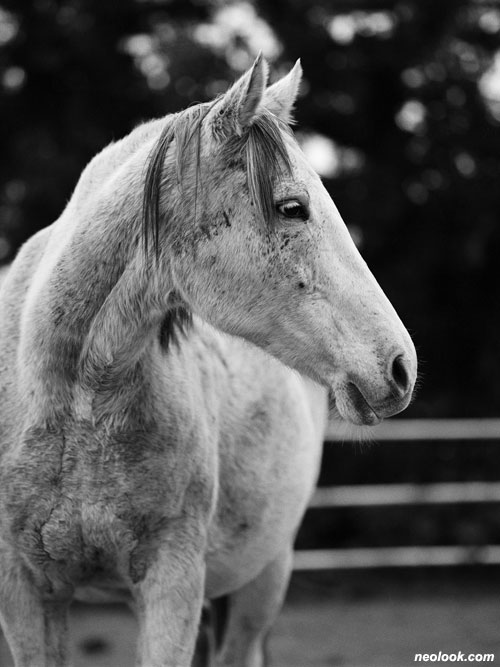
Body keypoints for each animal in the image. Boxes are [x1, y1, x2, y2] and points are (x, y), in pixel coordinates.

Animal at [0, 57, 416, 667]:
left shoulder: (171, 584)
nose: (400, 366)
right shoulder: (26, 593)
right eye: (292, 207)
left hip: (261, 582)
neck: (74, 400)